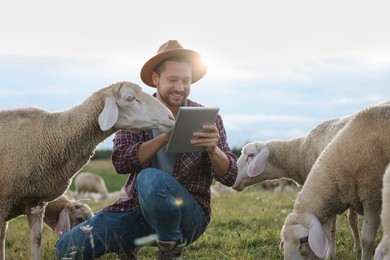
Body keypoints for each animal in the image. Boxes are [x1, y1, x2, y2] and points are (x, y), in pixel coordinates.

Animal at [0, 81, 174, 260]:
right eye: (130, 98)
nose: (170, 117)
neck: (49, 135)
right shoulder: (4, 201)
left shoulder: (35, 201)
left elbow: (36, 240)